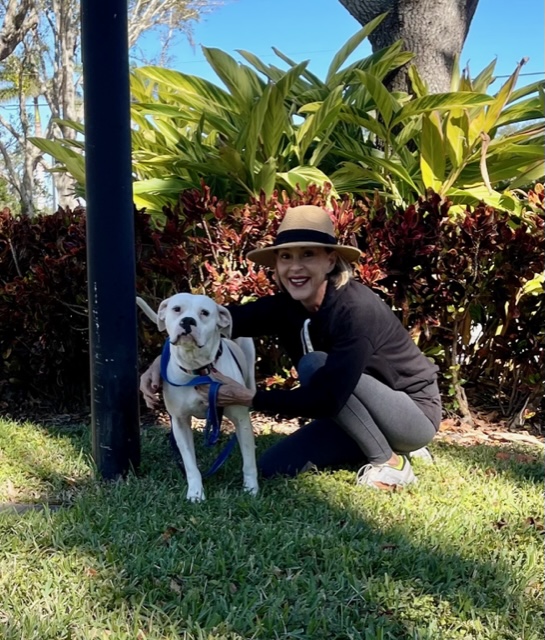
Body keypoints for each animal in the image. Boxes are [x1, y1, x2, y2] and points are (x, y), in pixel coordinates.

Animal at [139, 294, 260, 500]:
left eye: (204, 312)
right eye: (177, 309)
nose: (188, 321)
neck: (197, 368)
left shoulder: (241, 419)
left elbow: (249, 460)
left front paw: (251, 490)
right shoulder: (180, 422)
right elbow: (190, 464)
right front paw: (195, 493)